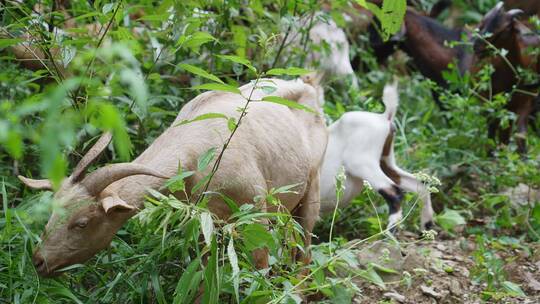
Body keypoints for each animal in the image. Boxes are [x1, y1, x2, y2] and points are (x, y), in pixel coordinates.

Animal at [16, 77, 326, 276]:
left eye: (82, 223)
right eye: (51, 213)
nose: (39, 262)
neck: (195, 153)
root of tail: (309, 86)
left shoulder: (254, 213)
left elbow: (259, 266)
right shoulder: (204, 223)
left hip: (312, 189)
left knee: (306, 249)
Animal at [318, 81, 436, 230]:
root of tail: (383, 117)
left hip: (362, 163)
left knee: (394, 192)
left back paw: (390, 229)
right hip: (385, 161)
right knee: (420, 185)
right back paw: (426, 225)